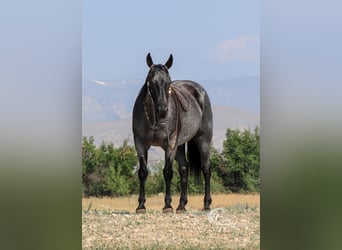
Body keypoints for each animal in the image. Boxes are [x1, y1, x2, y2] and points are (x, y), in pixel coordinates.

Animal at [132, 52, 212, 213]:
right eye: (152, 81)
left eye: (168, 83)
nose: (163, 110)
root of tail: (200, 91)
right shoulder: (140, 144)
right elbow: (143, 172)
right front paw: (141, 205)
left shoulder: (169, 144)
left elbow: (168, 172)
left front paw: (167, 205)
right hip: (179, 146)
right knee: (184, 169)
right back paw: (181, 205)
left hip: (203, 140)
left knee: (206, 169)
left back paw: (206, 204)